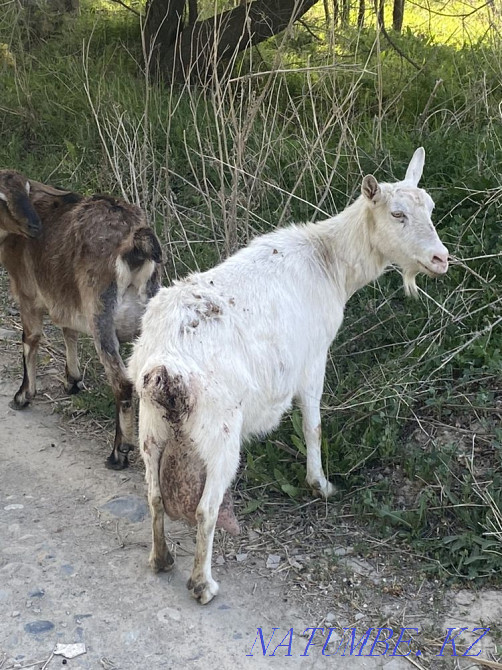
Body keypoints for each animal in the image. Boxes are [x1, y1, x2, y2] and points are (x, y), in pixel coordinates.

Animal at [0, 170, 162, 469]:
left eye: (24, 191)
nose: (34, 226)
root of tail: (135, 244)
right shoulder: (64, 295)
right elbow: (68, 330)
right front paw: (72, 380)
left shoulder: (26, 292)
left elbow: (31, 339)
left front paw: (23, 395)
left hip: (101, 315)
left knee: (122, 382)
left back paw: (118, 453)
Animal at [128, 148, 449, 604]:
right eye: (397, 214)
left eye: (432, 208)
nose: (441, 259)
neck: (330, 261)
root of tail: (164, 367)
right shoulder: (313, 358)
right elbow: (313, 425)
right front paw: (321, 484)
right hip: (219, 430)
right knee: (206, 508)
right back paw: (203, 584)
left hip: (150, 426)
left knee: (154, 496)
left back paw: (161, 560)